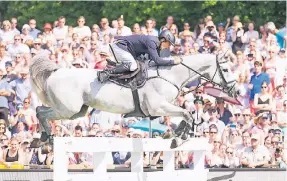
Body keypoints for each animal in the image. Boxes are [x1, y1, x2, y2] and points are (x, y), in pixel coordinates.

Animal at [29, 52, 241, 148]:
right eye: (226, 69)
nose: (237, 90)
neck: (170, 75)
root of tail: (55, 72)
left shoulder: (162, 109)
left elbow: (186, 114)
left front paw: (179, 133)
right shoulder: (157, 108)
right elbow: (187, 113)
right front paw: (180, 138)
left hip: (76, 111)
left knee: (41, 111)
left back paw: (42, 139)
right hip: (68, 109)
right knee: (41, 112)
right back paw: (46, 138)